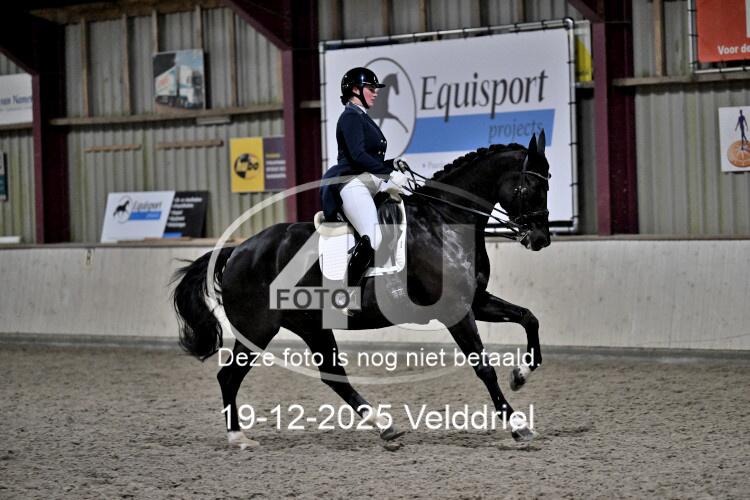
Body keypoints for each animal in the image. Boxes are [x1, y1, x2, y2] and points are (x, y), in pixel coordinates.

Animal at [172, 132, 551, 449]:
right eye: (532, 187)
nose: (540, 239)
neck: (442, 222)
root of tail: (238, 250)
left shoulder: (475, 301)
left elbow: (529, 318)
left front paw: (520, 376)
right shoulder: (454, 310)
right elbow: (484, 367)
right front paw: (517, 425)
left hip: (309, 326)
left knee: (331, 377)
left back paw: (384, 426)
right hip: (258, 328)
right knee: (230, 376)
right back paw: (239, 438)